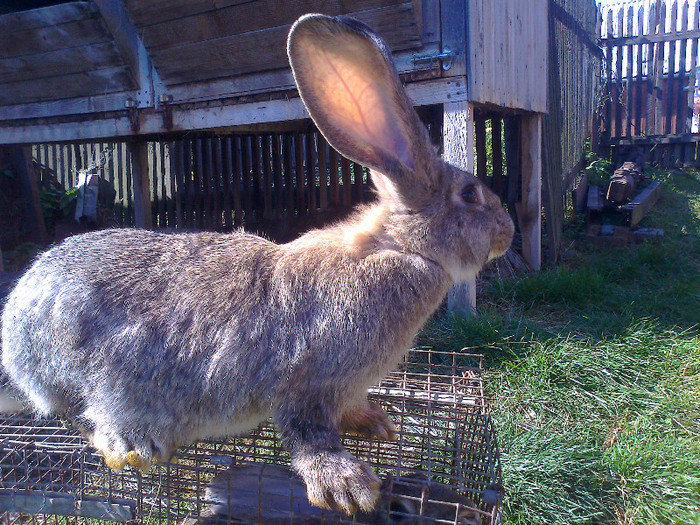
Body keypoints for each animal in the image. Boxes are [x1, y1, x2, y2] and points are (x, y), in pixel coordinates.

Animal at [0, 13, 516, 516]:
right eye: (470, 195)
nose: (507, 232)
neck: (397, 249)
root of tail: (14, 338)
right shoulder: (310, 380)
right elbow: (308, 433)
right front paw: (347, 487)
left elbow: (349, 410)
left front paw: (376, 423)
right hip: (79, 364)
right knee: (77, 413)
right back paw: (135, 446)